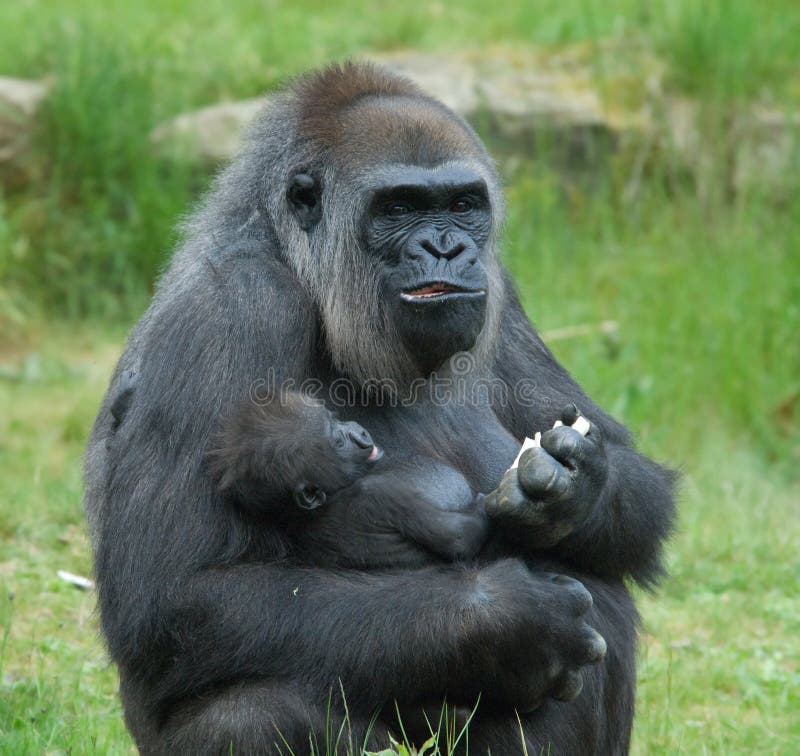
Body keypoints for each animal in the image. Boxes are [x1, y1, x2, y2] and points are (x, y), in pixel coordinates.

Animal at [206, 390, 490, 568]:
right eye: (339, 442)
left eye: (335, 419)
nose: (360, 432)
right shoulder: (380, 494)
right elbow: (458, 537)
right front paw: (484, 506)